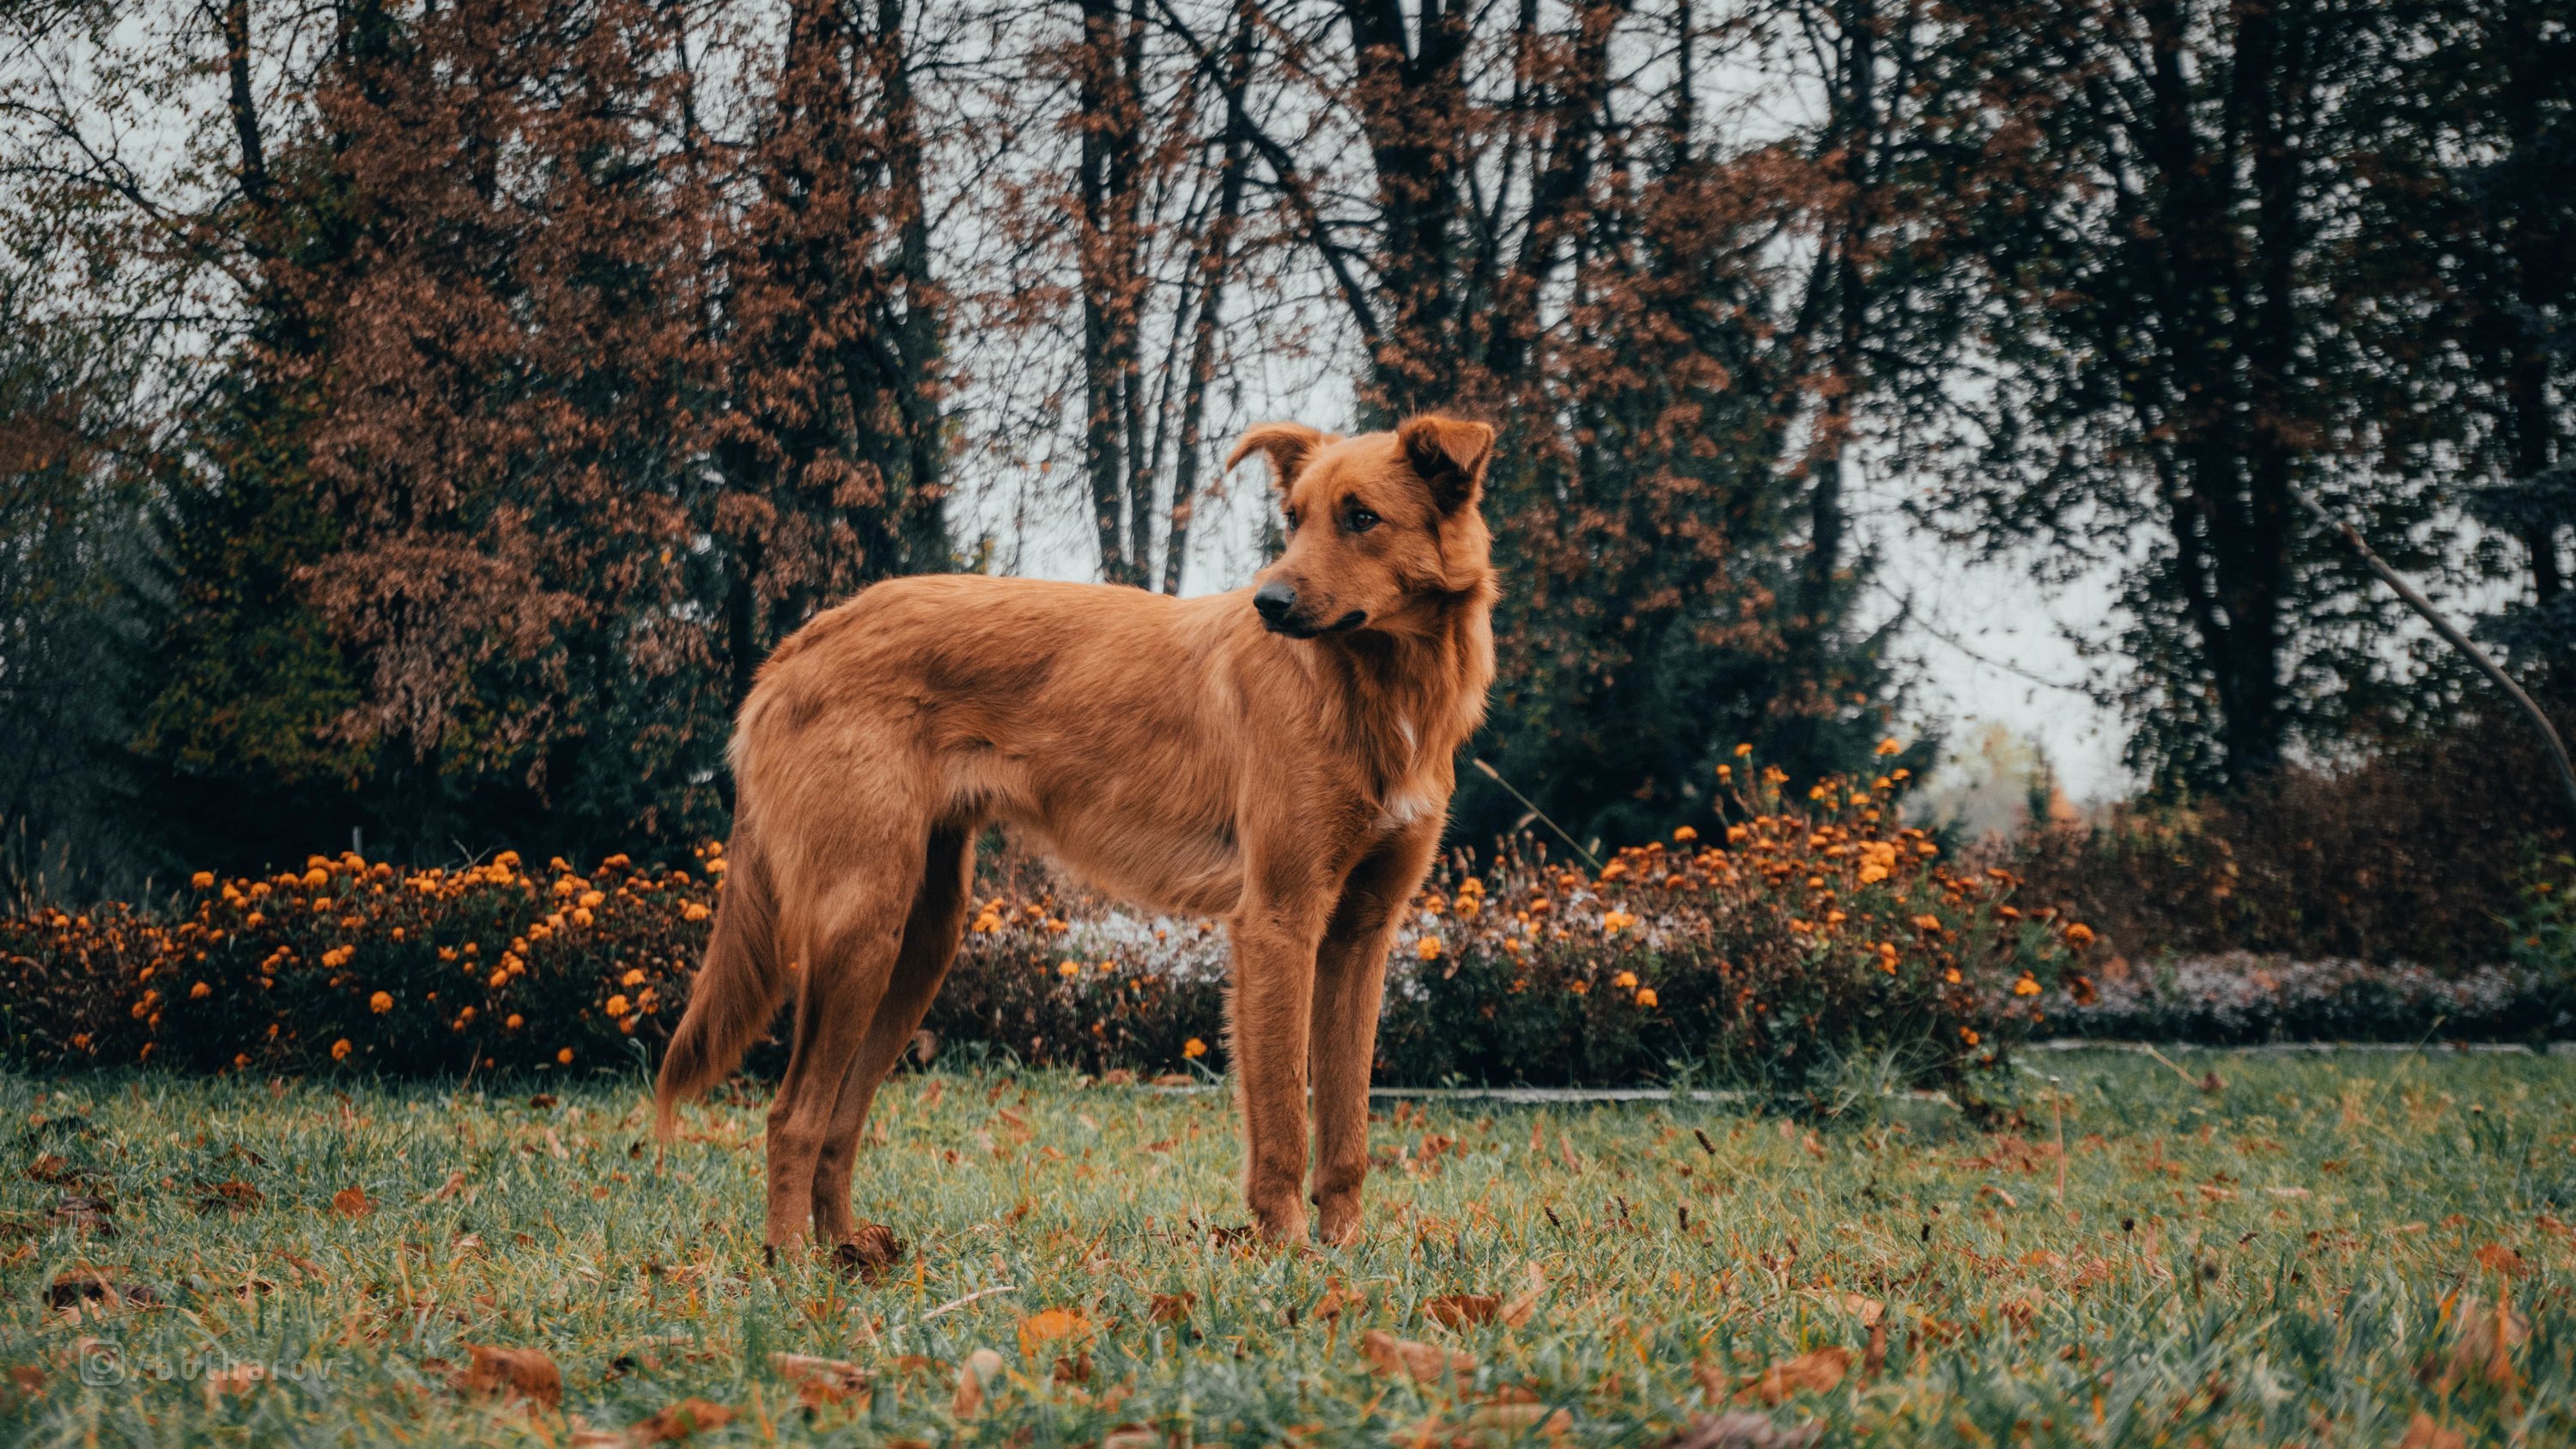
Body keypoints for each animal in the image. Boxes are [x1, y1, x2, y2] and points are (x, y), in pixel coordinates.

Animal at [654, 412, 1504, 1247]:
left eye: (1361, 518)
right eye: (1293, 520)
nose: (1270, 602)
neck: (1380, 691)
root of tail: (797, 648)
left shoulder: (1360, 934)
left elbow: (1348, 1128)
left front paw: (1346, 1251)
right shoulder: (1278, 922)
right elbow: (1284, 1125)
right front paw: (1291, 1253)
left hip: (919, 943)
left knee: (838, 1119)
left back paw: (852, 1254)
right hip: (860, 927)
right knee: (792, 1116)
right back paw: (794, 1264)